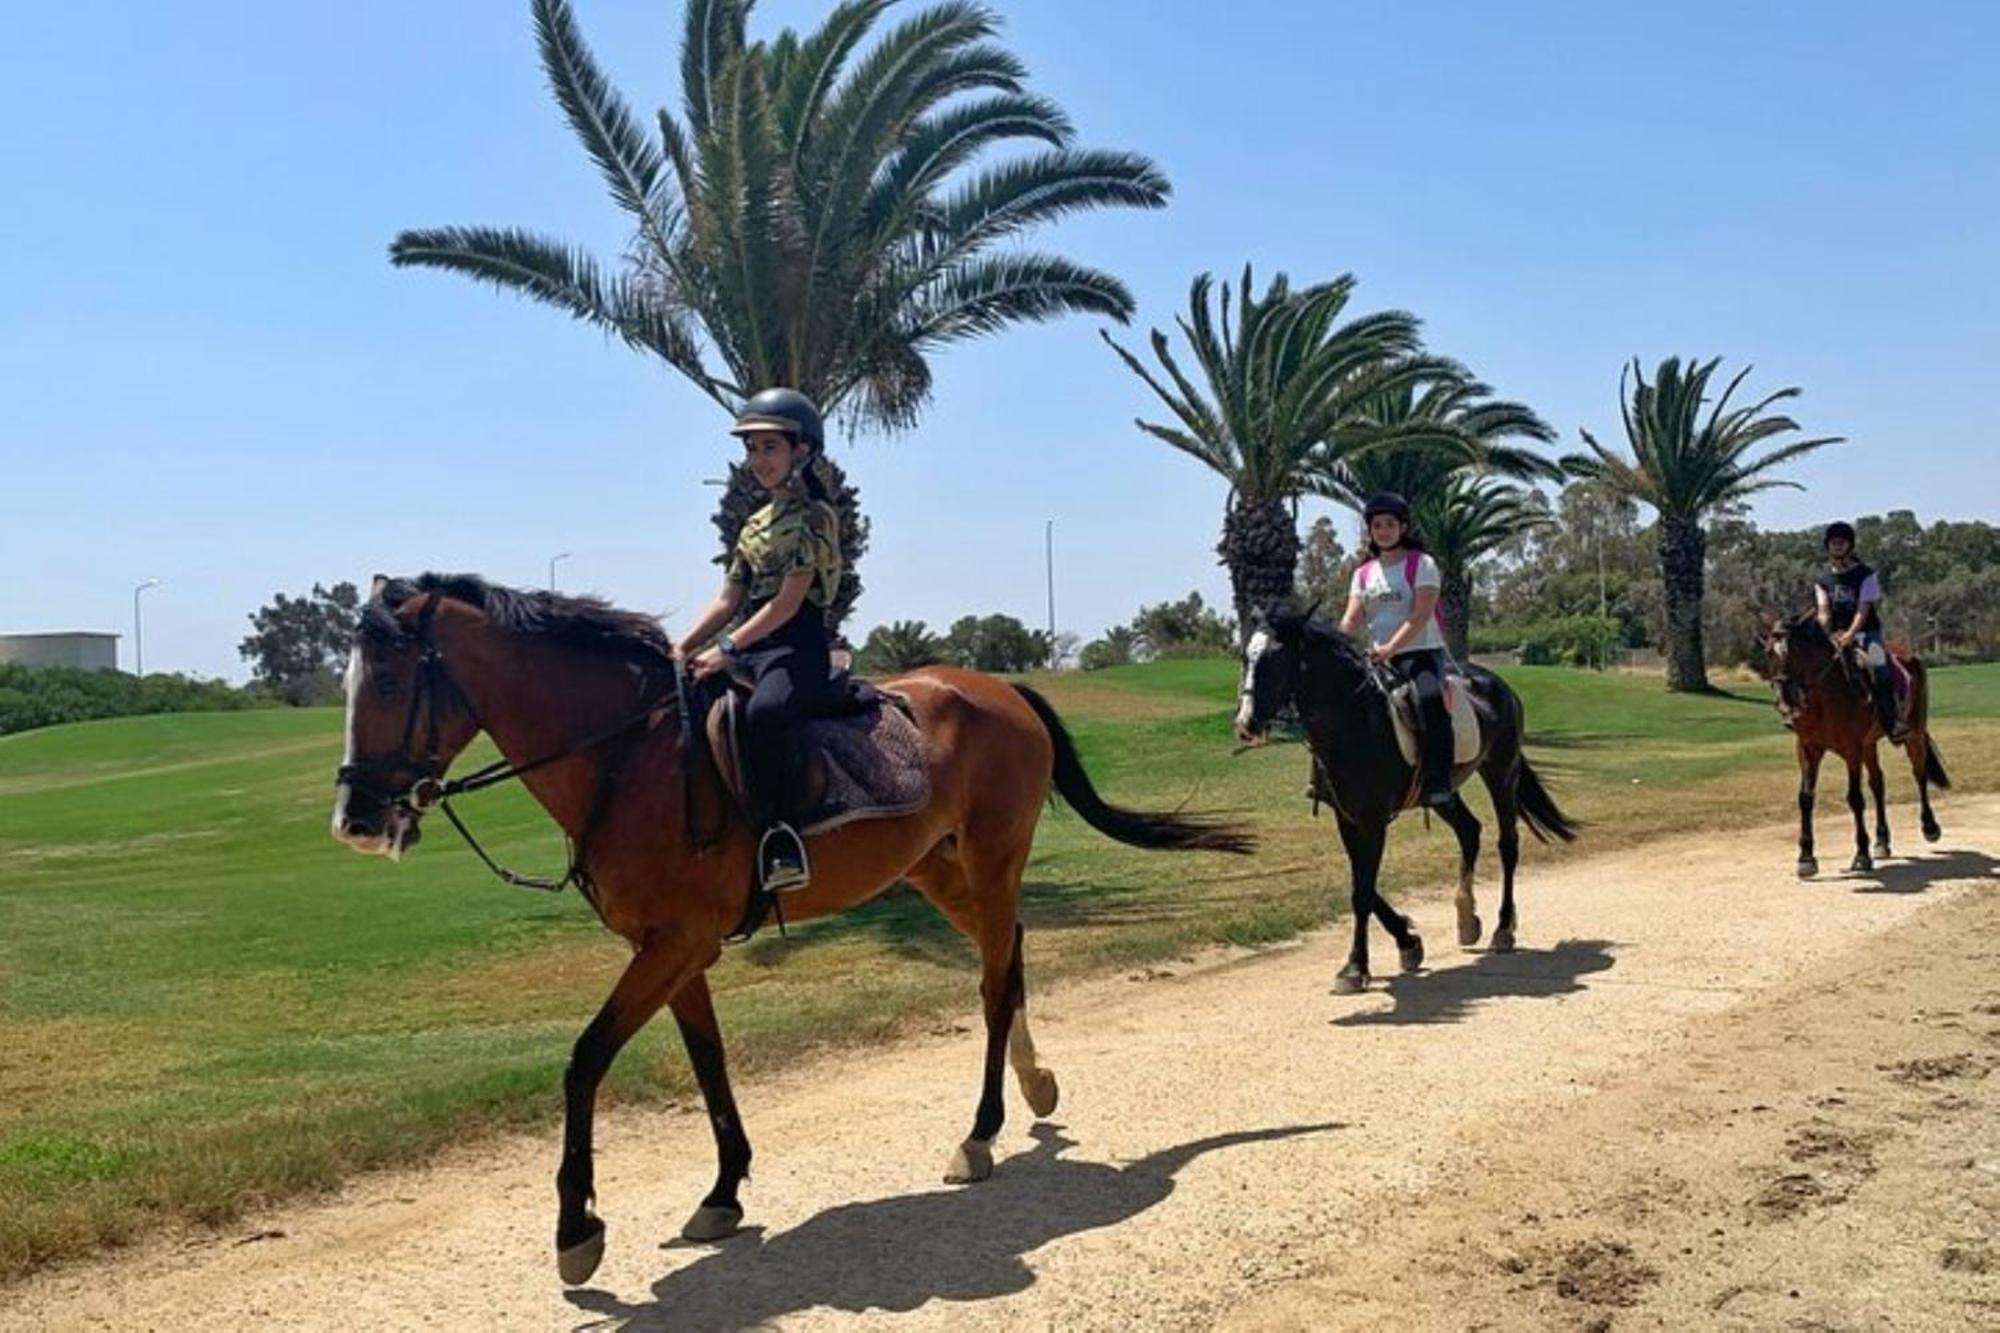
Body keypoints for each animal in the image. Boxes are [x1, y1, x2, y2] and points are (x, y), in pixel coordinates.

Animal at [328, 572, 1248, 1280]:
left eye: (386, 683)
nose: (355, 820)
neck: (629, 757)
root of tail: (996, 687)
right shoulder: (674, 949)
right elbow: (708, 1062)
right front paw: (723, 1190)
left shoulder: (674, 943)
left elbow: (584, 1060)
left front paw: (577, 1230)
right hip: (934, 866)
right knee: (1010, 953)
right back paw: (1036, 1085)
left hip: (993, 856)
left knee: (993, 982)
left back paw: (981, 1131)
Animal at [1232, 608, 1576, 992]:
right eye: (1246, 658)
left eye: (1276, 660)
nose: (1246, 724)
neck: (1354, 720)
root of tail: (1497, 684)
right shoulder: (1347, 818)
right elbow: (1363, 884)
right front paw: (1408, 942)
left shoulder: (1372, 820)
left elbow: (1362, 892)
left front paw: (1355, 967)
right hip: (1444, 794)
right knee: (1469, 831)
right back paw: (1467, 919)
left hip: (1501, 773)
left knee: (1508, 845)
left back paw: (1503, 929)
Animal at [1760, 608, 1944, 876]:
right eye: (1768, 653)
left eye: (1796, 651)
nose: (1786, 705)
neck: (1825, 696)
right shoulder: (1807, 748)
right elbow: (1805, 797)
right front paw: (1806, 857)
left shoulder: (1852, 749)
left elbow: (1855, 798)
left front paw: (1861, 855)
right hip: (1869, 745)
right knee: (1878, 783)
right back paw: (1882, 841)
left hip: (1914, 734)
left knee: (1919, 774)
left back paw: (1929, 826)